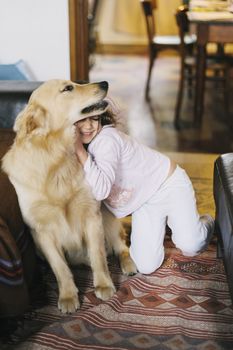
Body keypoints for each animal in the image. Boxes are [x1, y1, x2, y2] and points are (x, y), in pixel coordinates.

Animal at [1, 80, 137, 314]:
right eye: (68, 89)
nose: (104, 82)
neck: (55, 159)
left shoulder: (92, 215)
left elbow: (98, 256)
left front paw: (103, 285)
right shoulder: (41, 231)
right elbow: (60, 267)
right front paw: (67, 295)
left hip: (107, 217)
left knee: (121, 247)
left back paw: (129, 264)